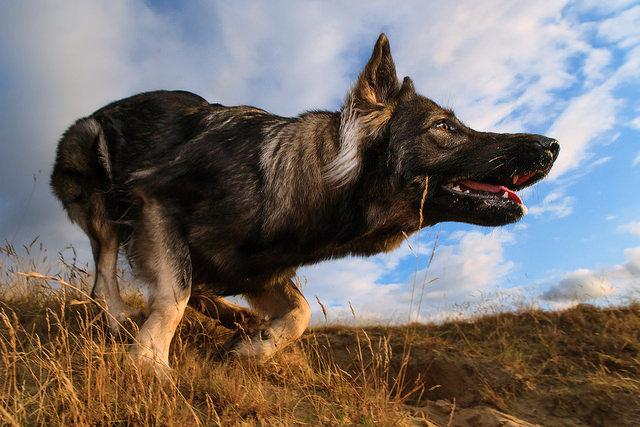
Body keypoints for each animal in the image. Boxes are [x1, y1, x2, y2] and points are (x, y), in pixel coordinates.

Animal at [51, 34, 560, 368]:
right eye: (445, 127)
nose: (553, 146)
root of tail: (93, 114)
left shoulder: (258, 270)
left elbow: (300, 313)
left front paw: (254, 345)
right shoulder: (156, 200)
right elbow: (174, 292)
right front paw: (150, 362)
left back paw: (231, 318)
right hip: (97, 180)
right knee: (104, 275)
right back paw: (121, 318)